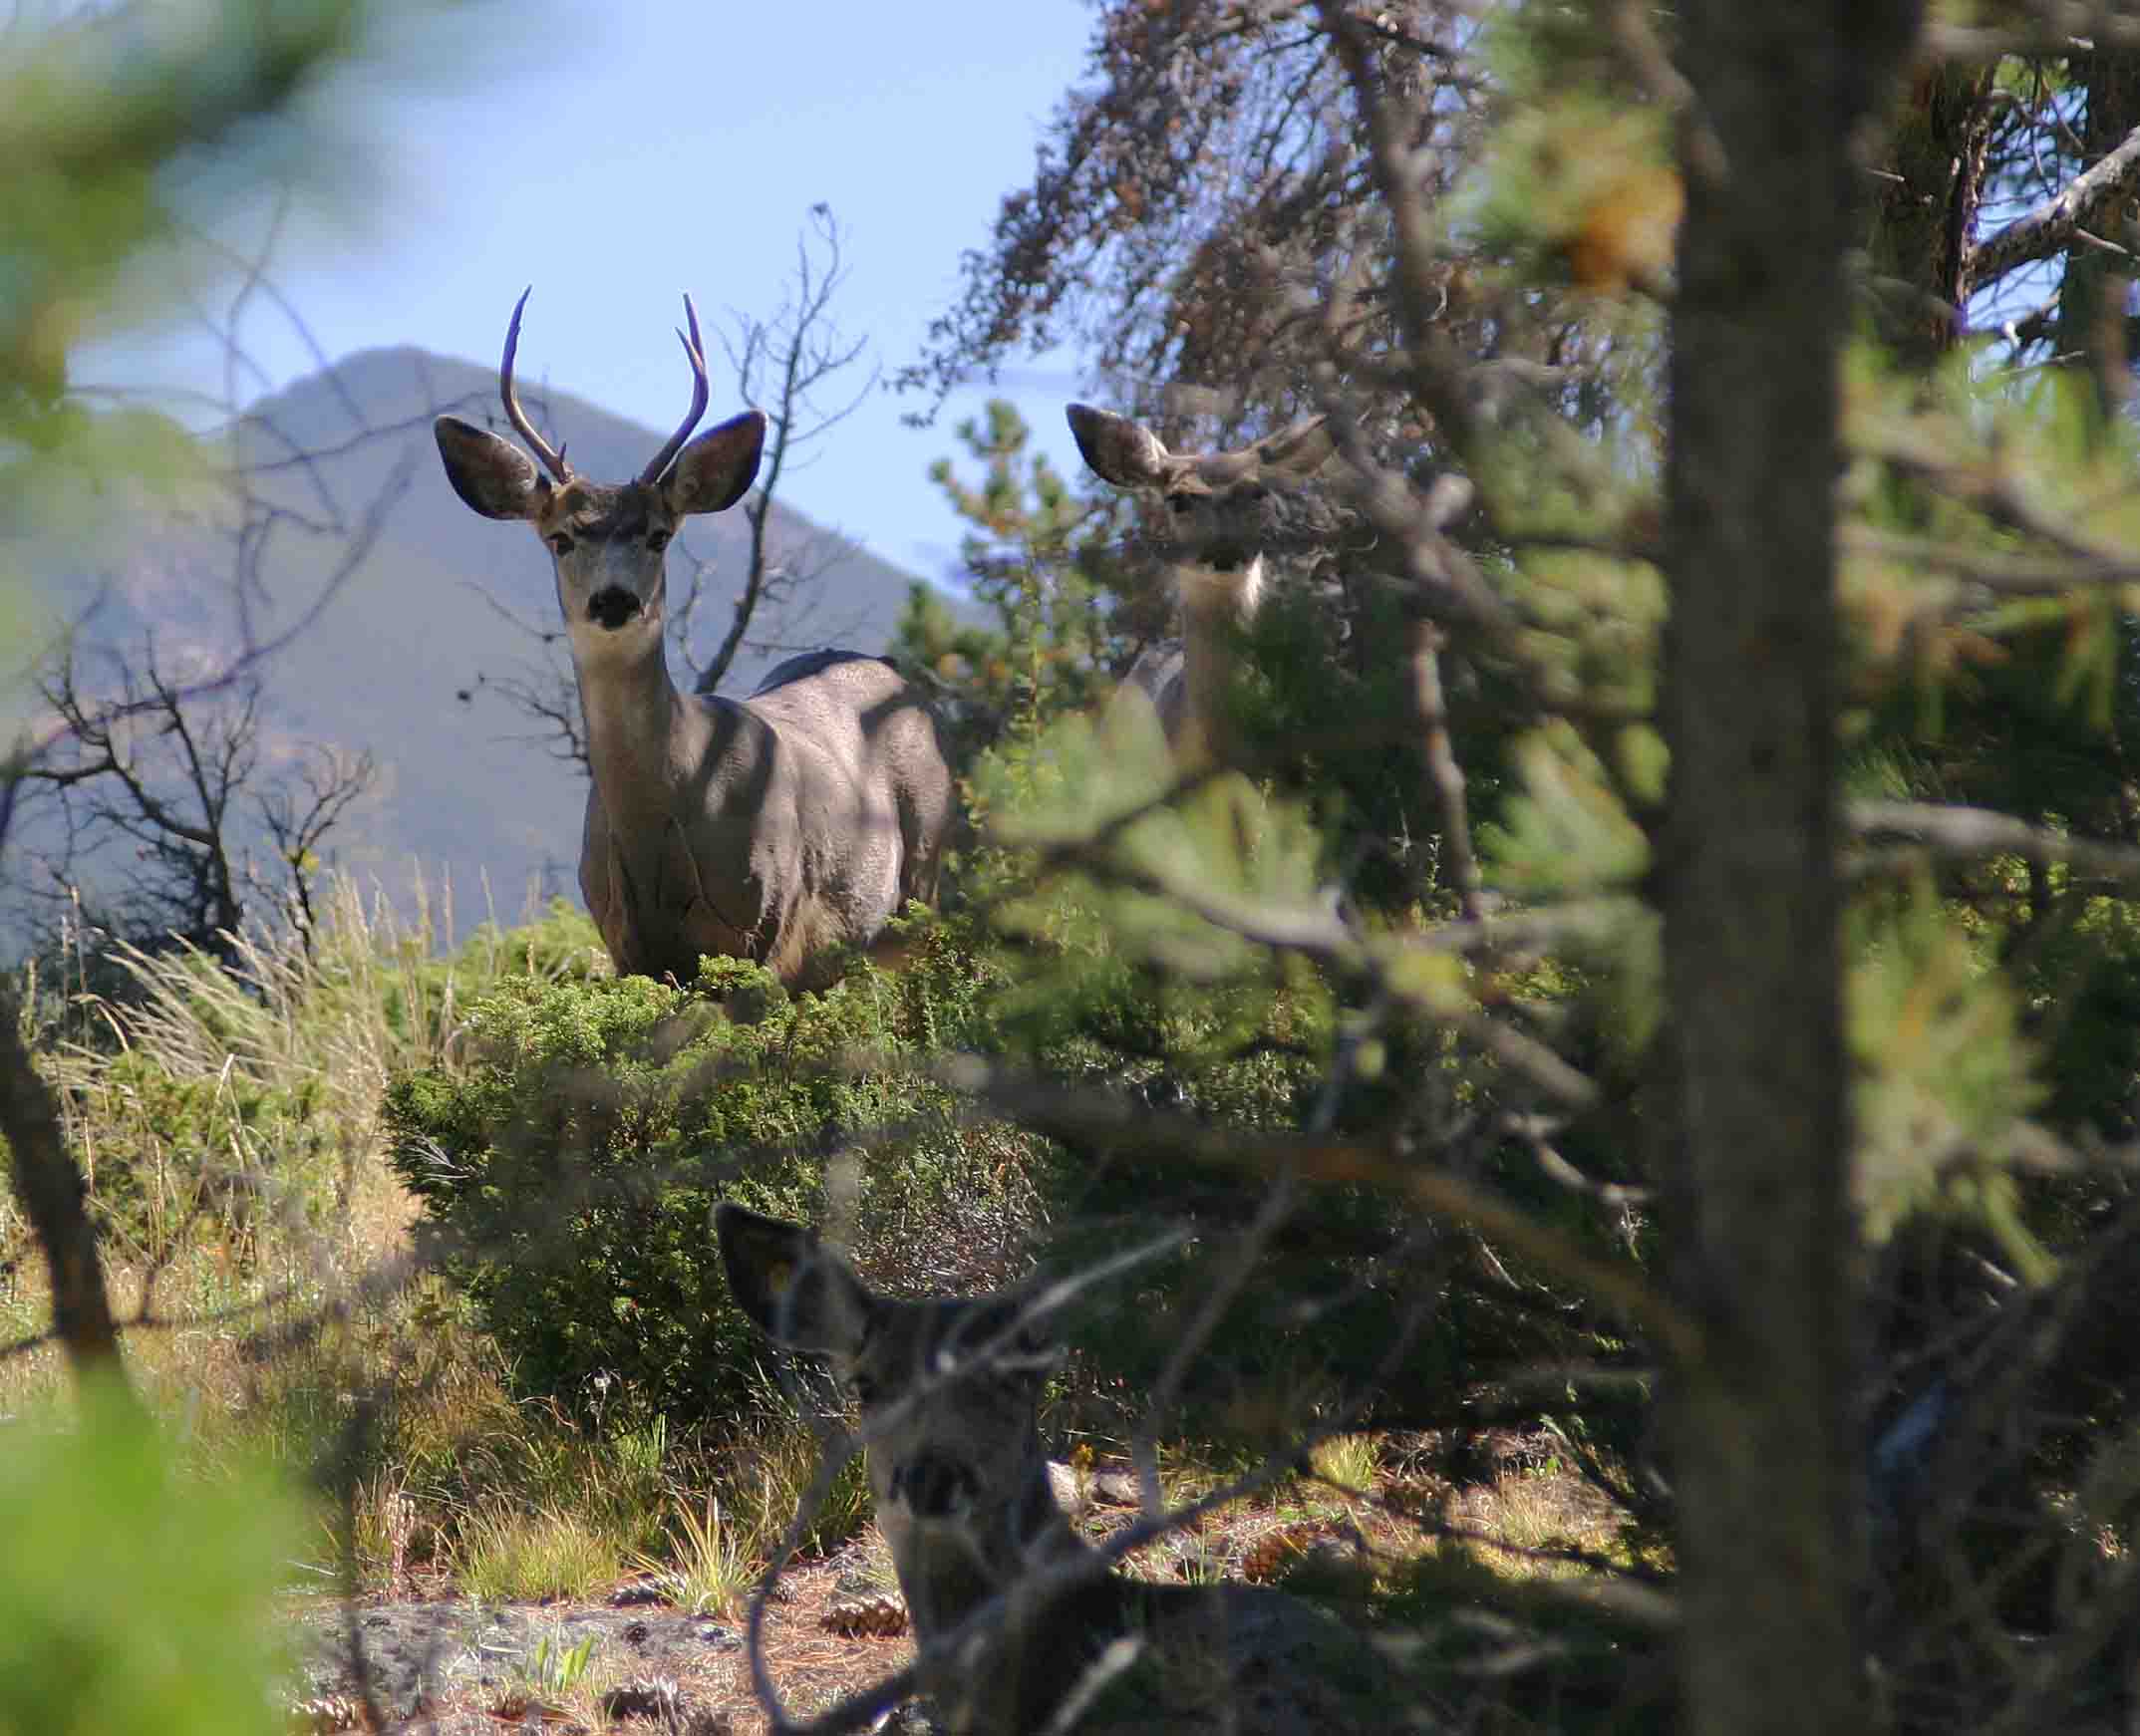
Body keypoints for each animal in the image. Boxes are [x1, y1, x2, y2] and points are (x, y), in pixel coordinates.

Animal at [434, 292, 951, 991]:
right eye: (561, 537)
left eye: (658, 534)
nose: (615, 600)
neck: (661, 813)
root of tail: (895, 673)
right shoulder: (629, 946)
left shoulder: (765, 926)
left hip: (927, 874)